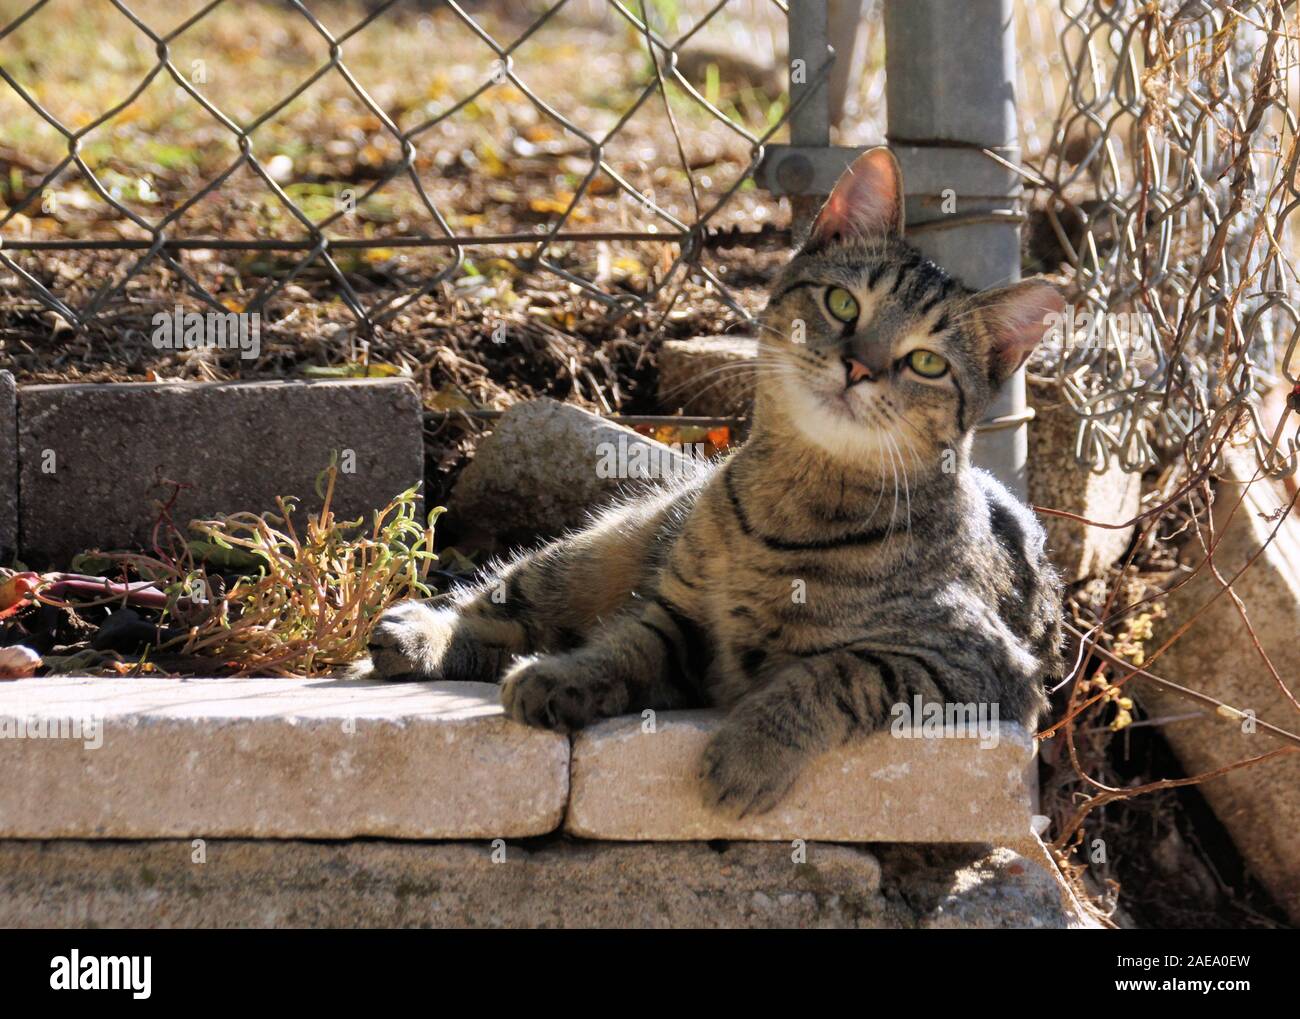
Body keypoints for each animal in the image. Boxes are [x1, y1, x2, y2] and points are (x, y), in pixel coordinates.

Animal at [361, 147, 1060, 816]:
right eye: (843, 303)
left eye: (926, 363)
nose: (859, 366)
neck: (792, 502)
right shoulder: (682, 613)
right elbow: (624, 646)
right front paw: (565, 677)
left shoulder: (983, 672)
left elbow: (839, 672)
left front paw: (753, 750)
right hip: (599, 549)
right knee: (508, 595)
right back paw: (422, 635)